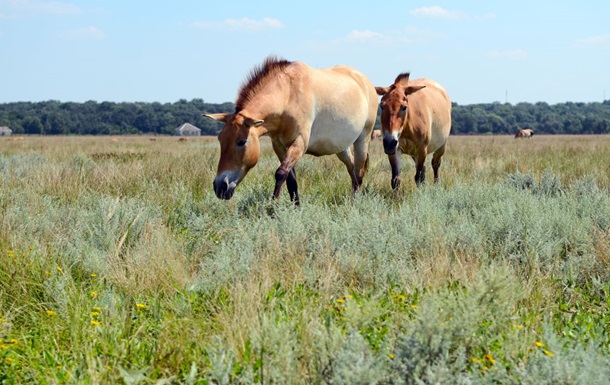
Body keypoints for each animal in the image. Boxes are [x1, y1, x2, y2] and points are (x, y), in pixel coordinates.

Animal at [202, 56, 378, 204]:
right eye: (220, 140)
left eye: (242, 142)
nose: (220, 187)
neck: (288, 96)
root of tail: (366, 82)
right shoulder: (279, 146)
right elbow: (291, 179)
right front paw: (295, 208)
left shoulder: (299, 143)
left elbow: (280, 173)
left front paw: (272, 208)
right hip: (342, 147)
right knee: (352, 169)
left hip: (363, 139)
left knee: (359, 171)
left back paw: (355, 203)